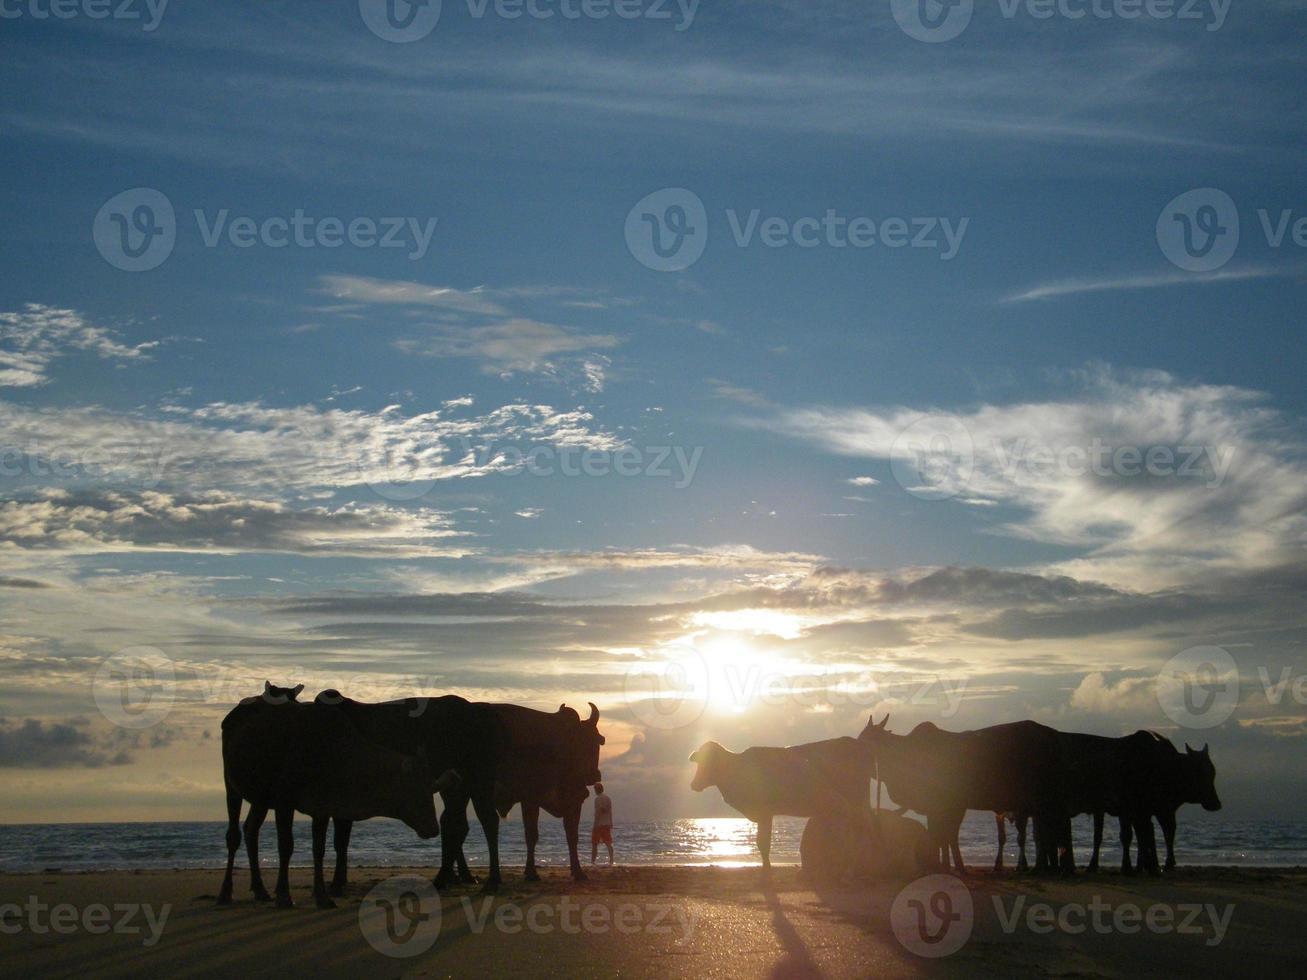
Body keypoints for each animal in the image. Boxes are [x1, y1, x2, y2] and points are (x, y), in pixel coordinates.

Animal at [218, 684, 449, 909]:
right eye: (415, 791)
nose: (433, 828)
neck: (334, 755)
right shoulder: (285, 800)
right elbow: (286, 846)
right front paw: (284, 896)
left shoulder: (322, 806)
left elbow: (319, 849)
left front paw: (322, 896)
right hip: (231, 784)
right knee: (233, 835)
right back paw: (226, 892)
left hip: (261, 799)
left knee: (251, 830)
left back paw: (260, 890)